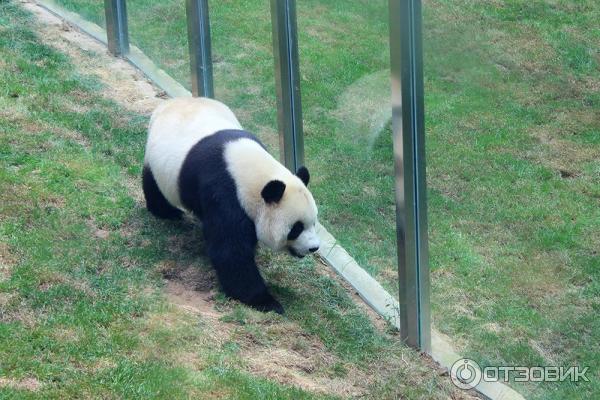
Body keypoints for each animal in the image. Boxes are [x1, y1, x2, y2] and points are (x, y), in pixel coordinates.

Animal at [144, 96, 322, 312]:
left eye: (314, 222)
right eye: (296, 228)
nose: (314, 248)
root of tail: (171, 102)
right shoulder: (225, 194)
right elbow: (230, 252)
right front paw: (266, 301)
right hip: (160, 164)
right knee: (153, 184)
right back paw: (167, 212)